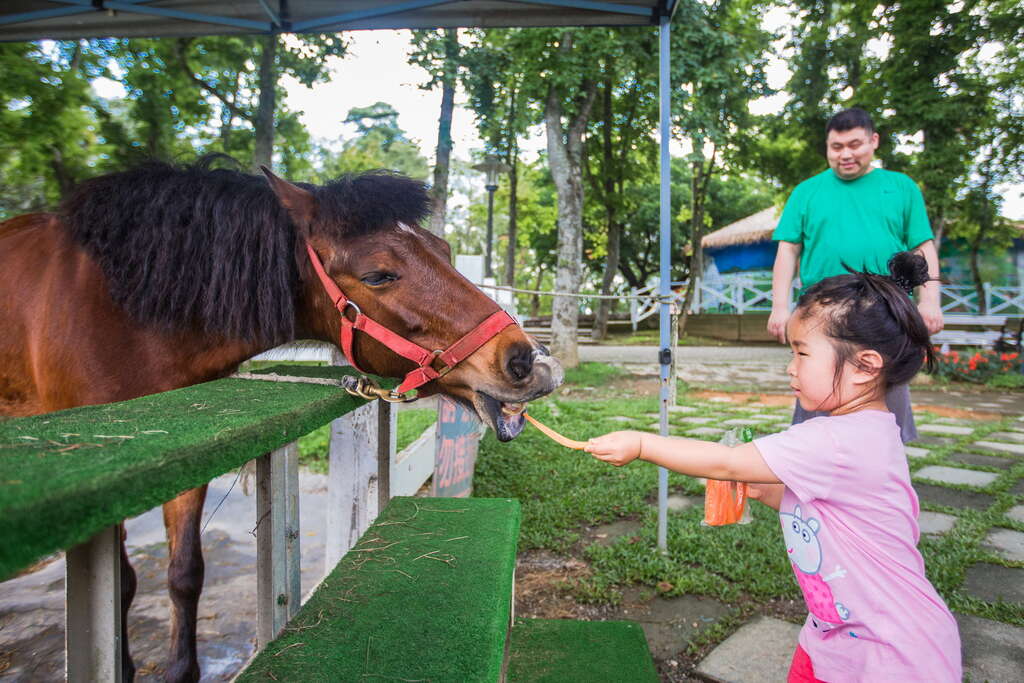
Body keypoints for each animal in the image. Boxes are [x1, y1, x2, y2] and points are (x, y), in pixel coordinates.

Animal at [0, 158, 561, 679]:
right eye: (379, 274)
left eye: (444, 252)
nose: (529, 362)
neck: (123, 303)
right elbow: (122, 586)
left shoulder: (187, 465)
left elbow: (185, 573)